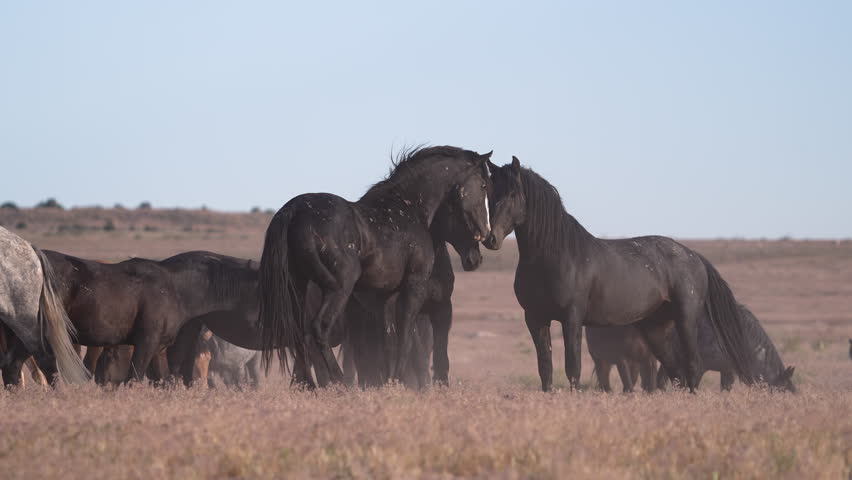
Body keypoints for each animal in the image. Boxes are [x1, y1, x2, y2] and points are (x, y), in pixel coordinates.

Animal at [259, 146, 492, 386]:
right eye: (483, 185)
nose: (486, 235)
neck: (409, 209)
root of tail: (293, 211)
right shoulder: (414, 286)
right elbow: (405, 334)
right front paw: (398, 380)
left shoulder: (384, 297)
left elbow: (388, 338)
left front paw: (387, 381)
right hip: (339, 288)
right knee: (319, 328)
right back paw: (340, 382)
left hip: (298, 285)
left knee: (300, 332)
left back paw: (310, 384)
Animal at [483, 156, 793, 392]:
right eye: (490, 194)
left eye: (513, 195)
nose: (490, 238)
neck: (556, 255)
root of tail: (694, 256)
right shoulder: (535, 318)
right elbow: (544, 367)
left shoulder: (572, 318)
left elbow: (573, 368)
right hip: (656, 329)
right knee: (675, 372)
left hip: (685, 320)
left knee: (692, 367)